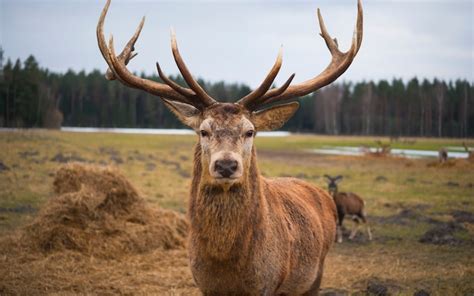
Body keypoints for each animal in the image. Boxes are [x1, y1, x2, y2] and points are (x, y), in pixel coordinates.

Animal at [96, 0, 362, 294]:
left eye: (250, 131)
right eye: (203, 130)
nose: (226, 164)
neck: (228, 268)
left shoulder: (267, 284)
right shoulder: (203, 284)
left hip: (316, 273)